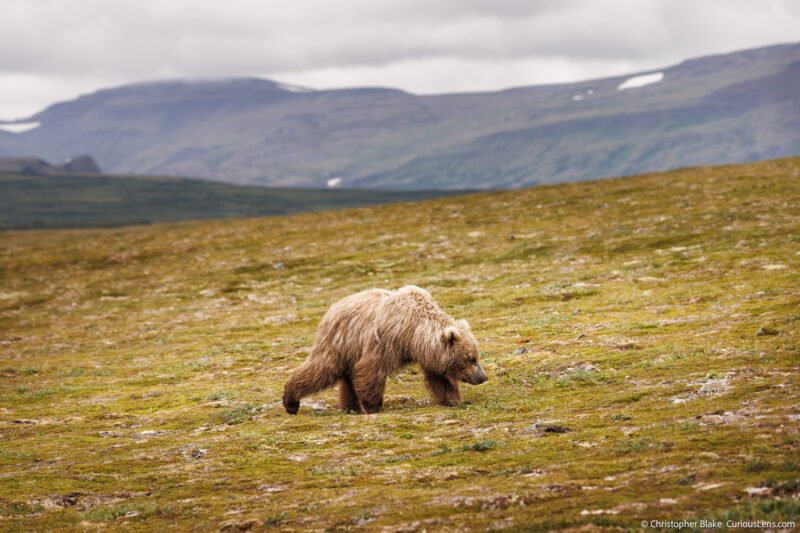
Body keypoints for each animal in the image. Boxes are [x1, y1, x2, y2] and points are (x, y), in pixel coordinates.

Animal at [282, 284, 488, 414]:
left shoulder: (429, 354)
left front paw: (456, 400)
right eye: (471, 359)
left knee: (346, 378)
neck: (415, 333)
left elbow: (440, 379)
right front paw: (374, 407)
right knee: (322, 369)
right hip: (340, 342)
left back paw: (350, 408)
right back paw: (291, 402)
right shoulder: (388, 339)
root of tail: (331, 309)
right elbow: (370, 369)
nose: (483, 377)